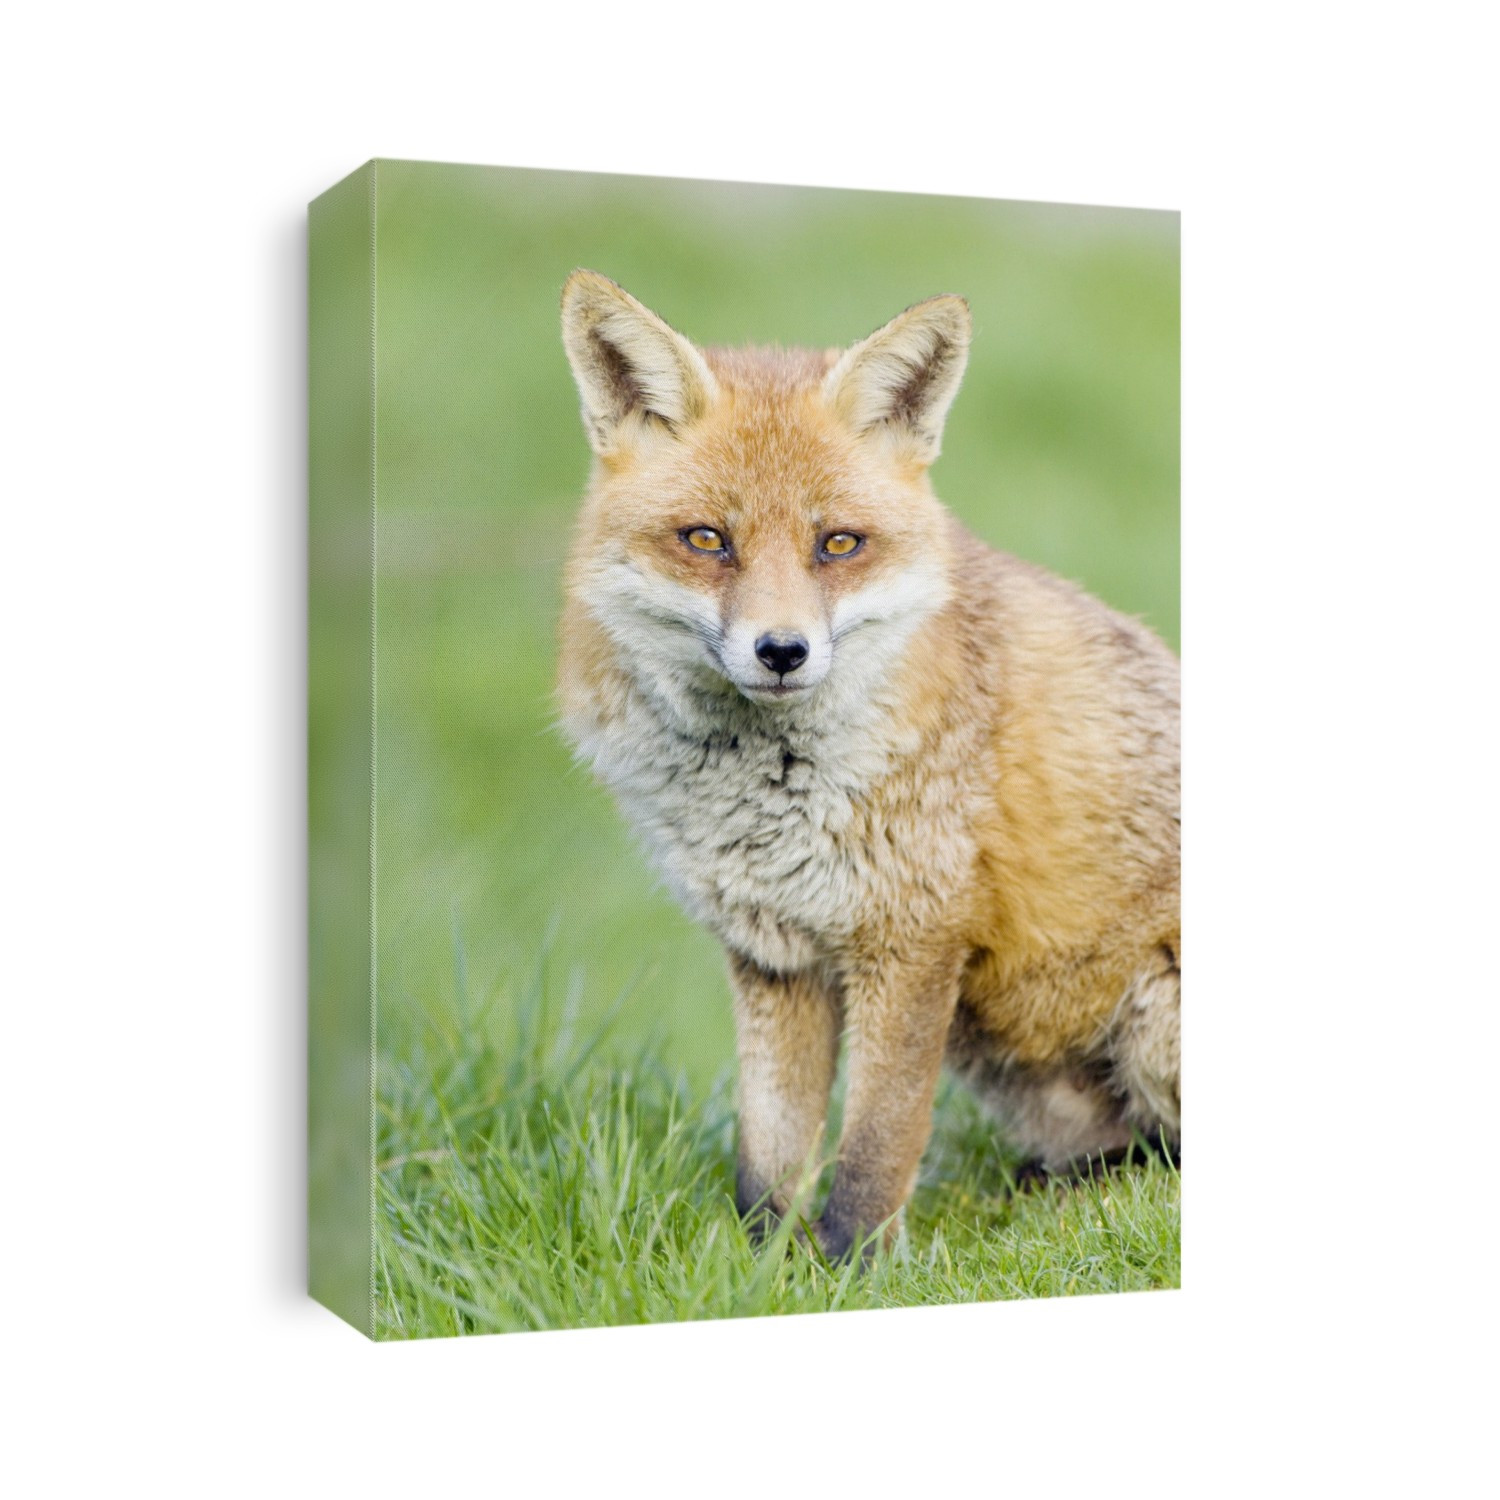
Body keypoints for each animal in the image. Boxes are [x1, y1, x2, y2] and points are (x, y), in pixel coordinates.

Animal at [556, 269, 1180, 1261]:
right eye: (707, 540)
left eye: (837, 544)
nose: (782, 651)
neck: (764, 797)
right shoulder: (773, 954)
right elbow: (770, 1155)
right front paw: (762, 1268)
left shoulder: (912, 938)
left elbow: (876, 1147)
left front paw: (852, 1269)